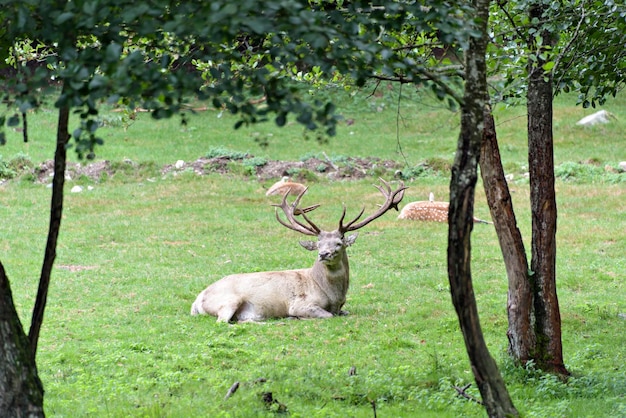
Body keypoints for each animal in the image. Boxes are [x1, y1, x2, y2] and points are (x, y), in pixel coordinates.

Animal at [190, 178, 404, 322]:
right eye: (318, 244)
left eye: (339, 242)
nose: (323, 254)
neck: (333, 296)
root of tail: (198, 300)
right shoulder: (300, 304)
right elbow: (327, 315)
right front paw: (296, 317)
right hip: (229, 300)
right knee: (222, 321)